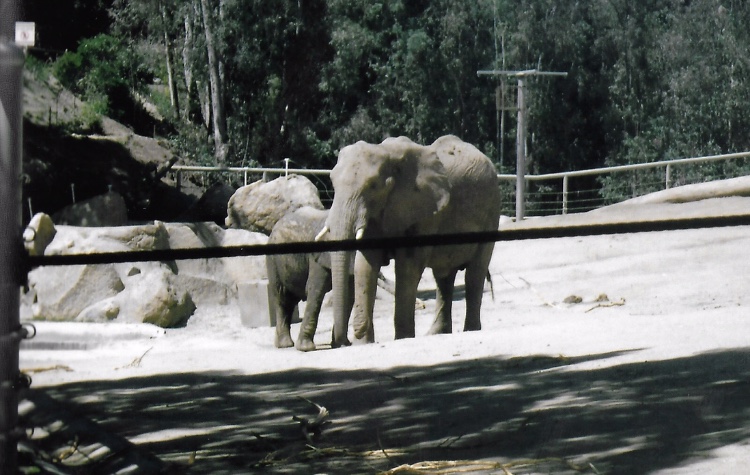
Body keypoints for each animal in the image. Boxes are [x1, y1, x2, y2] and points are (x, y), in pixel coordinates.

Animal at [267, 206, 354, 351]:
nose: (343, 343)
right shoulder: (317, 256)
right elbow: (316, 289)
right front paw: (306, 348)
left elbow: (351, 295)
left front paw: (341, 344)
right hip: (273, 261)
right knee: (282, 297)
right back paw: (285, 345)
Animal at [316, 135, 501, 347]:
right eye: (332, 182)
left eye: (373, 186)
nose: (347, 339)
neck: (386, 153)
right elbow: (365, 265)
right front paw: (363, 344)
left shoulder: (425, 211)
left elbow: (408, 266)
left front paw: (402, 337)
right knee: (443, 278)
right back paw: (436, 333)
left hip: (492, 211)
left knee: (474, 274)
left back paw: (470, 330)